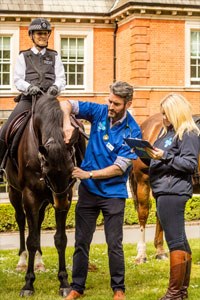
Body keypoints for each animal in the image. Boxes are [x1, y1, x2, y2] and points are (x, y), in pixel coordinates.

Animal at [5, 95, 85, 296]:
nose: (60, 203)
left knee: (39, 223)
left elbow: (61, 239)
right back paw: (22, 261)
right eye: (47, 173)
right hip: (15, 193)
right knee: (21, 220)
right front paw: (28, 284)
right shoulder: (30, 197)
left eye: (71, 172)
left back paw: (40, 262)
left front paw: (64, 282)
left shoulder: (64, 196)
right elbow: (31, 240)